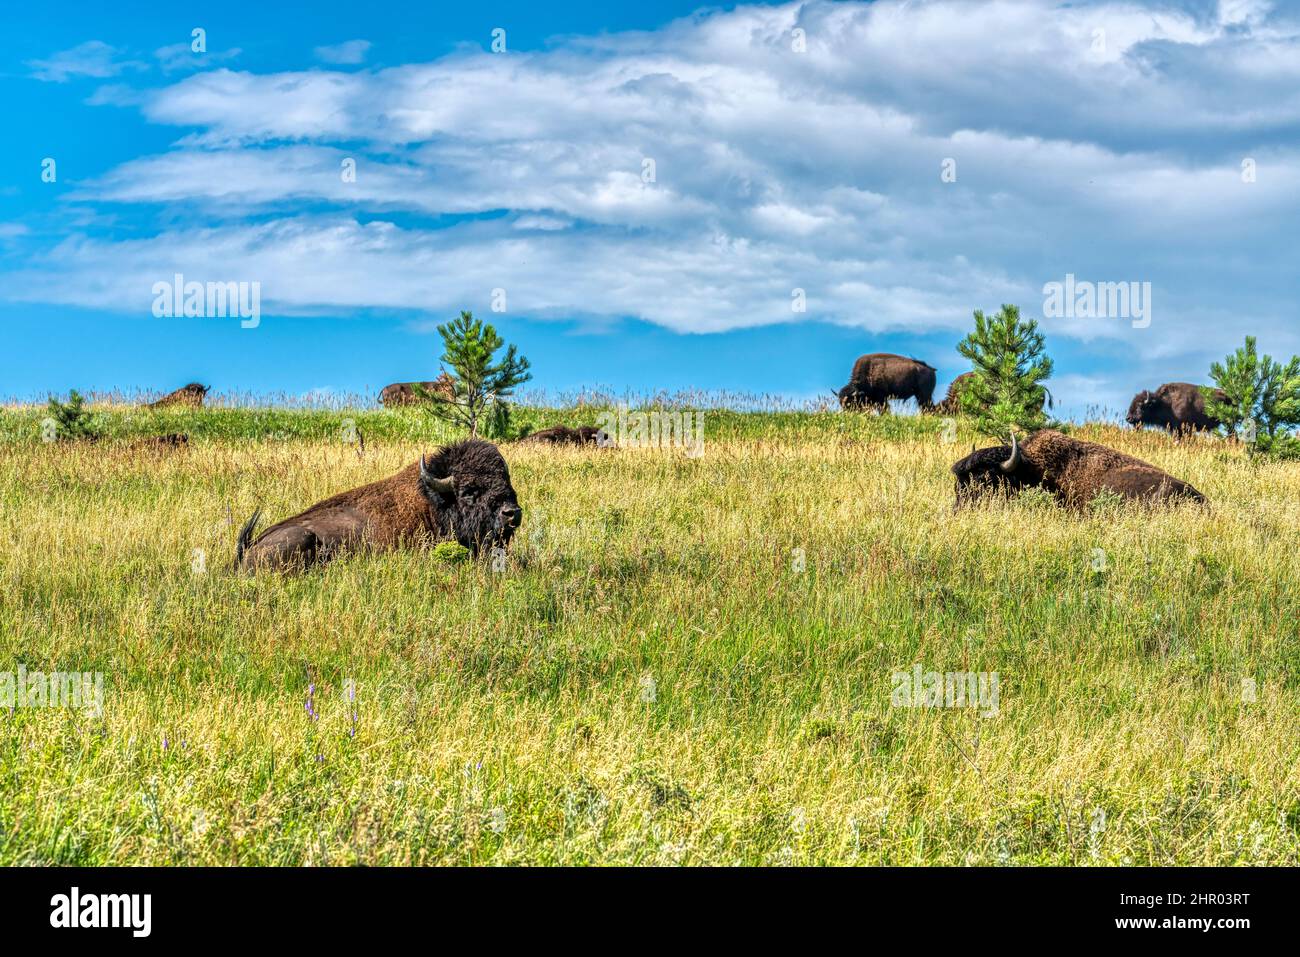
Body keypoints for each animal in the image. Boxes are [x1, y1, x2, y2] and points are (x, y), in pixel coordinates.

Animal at [236, 436, 520, 572]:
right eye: (469, 492)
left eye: (507, 481)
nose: (512, 513)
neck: (433, 504)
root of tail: (249, 546)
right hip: (302, 538)